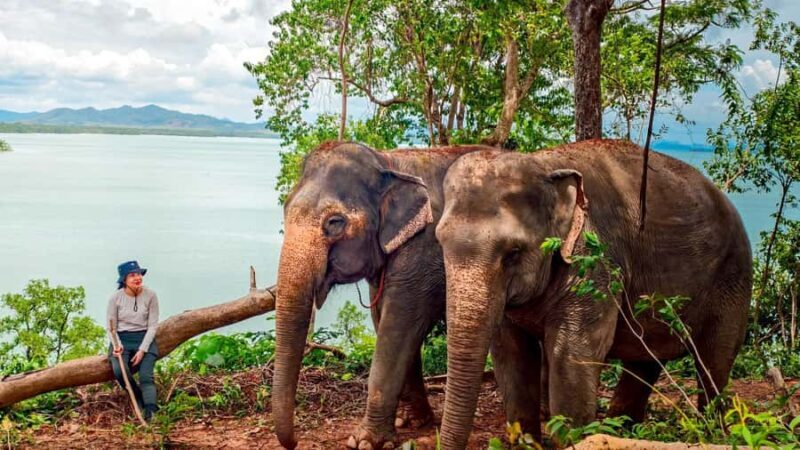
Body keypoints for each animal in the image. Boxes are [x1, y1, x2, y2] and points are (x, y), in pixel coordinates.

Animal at [272, 141, 491, 449]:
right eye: (285, 209)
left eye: (335, 222)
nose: (295, 441)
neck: (390, 161)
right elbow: (385, 320)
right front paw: (413, 422)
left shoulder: (424, 248)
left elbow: (398, 325)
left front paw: (365, 442)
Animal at [434, 139, 752, 449]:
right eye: (440, 241)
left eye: (513, 253)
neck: (544, 163)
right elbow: (511, 353)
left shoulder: (596, 259)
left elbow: (572, 354)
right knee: (646, 361)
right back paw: (623, 430)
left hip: (733, 278)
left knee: (713, 364)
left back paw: (715, 433)